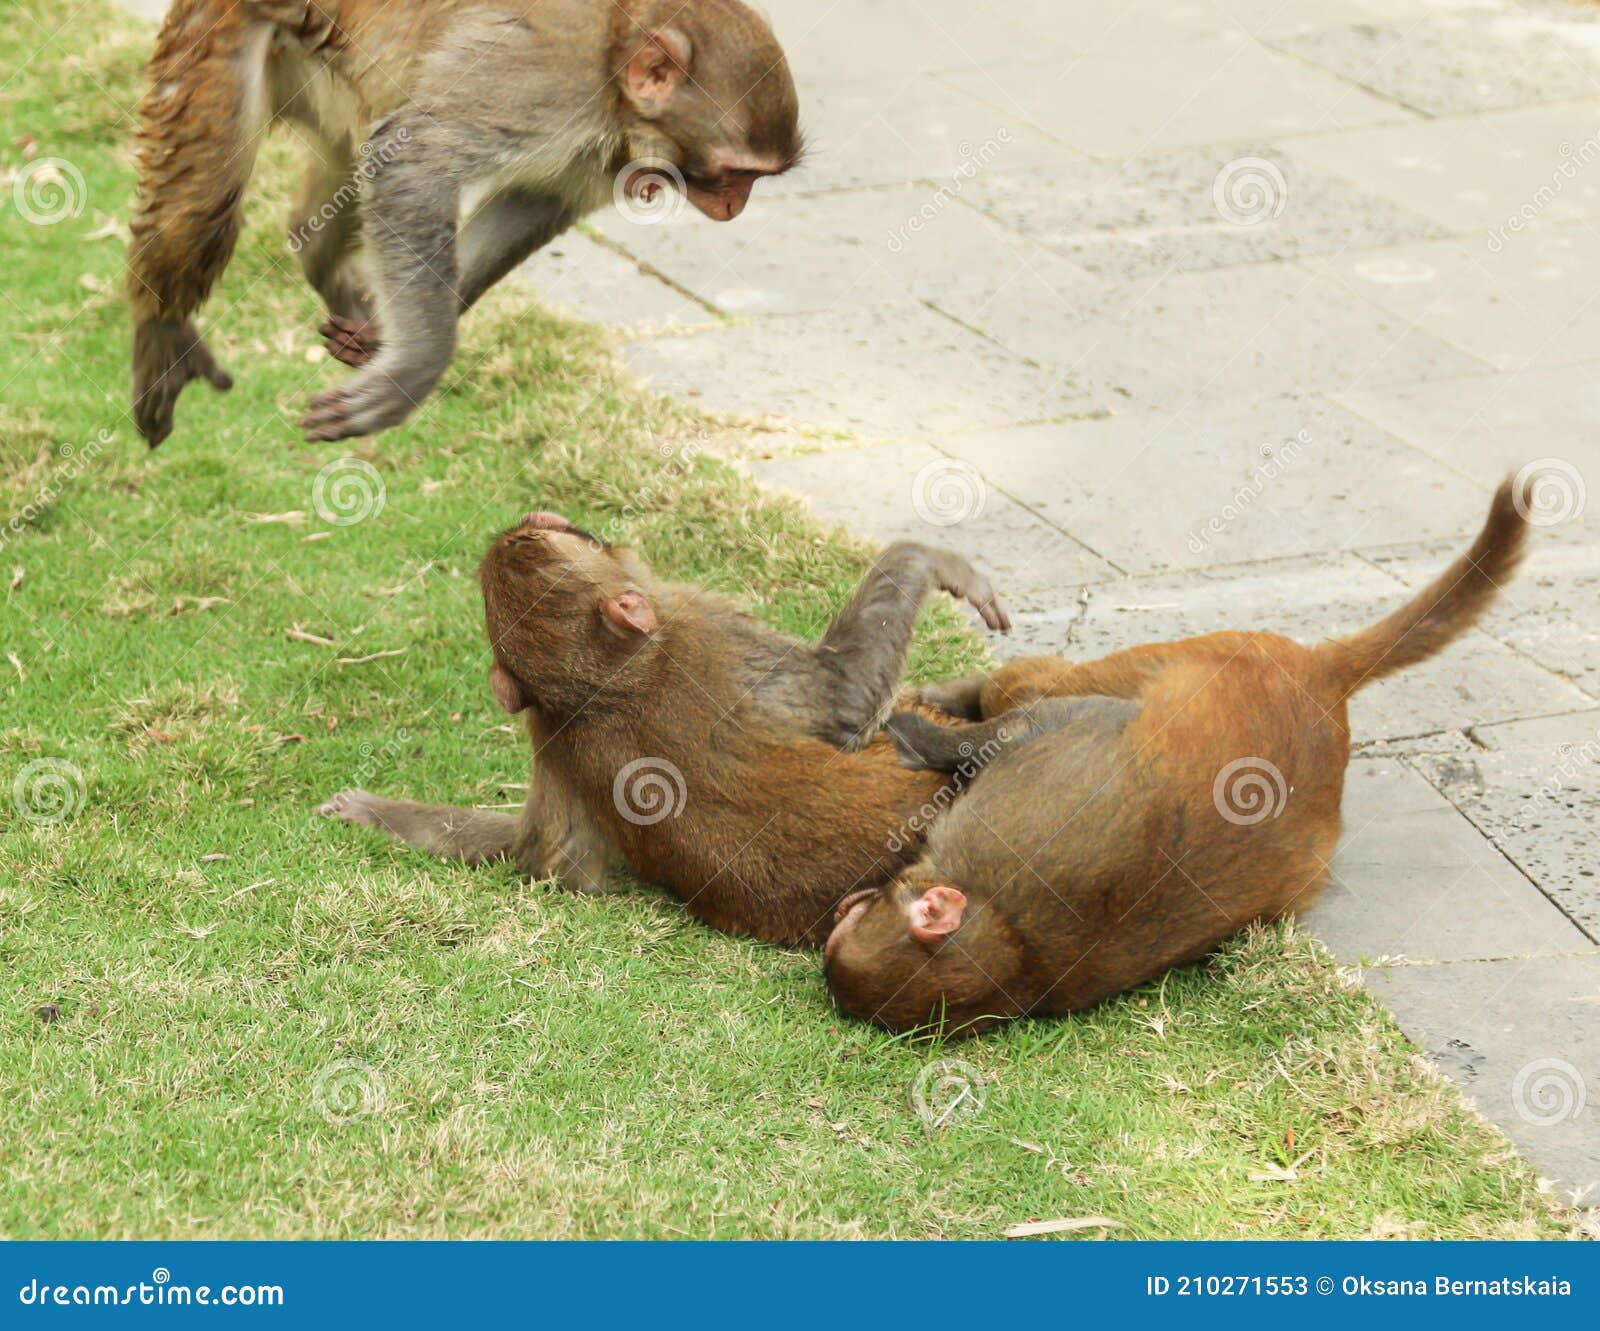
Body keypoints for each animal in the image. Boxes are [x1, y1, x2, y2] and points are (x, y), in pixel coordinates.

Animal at [128, 0, 802, 446]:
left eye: (753, 179)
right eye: (735, 174)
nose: (736, 207)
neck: (615, 63)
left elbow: (534, 198)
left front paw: (389, 338)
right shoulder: (542, 82)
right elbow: (413, 159)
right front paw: (414, 370)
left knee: (328, 206)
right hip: (217, 38)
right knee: (205, 209)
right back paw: (162, 327)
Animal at [320, 512, 1010, 946]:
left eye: (524, 547)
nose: (522, 525)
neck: (607, 687)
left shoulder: (554, 741)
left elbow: (544, 859)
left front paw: (369, 809)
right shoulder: (711, 631)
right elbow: (846, 692)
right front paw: (936, 561)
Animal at [824, 477, 1533, 1036]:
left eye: (858, 918)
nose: (840, 908)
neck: (1011, 943)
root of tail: (1320, 680)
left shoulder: (1028, 811)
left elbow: (1058, 722)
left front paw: (919, 735)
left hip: (1207, 650)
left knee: (1039, 686)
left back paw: (958, 697)